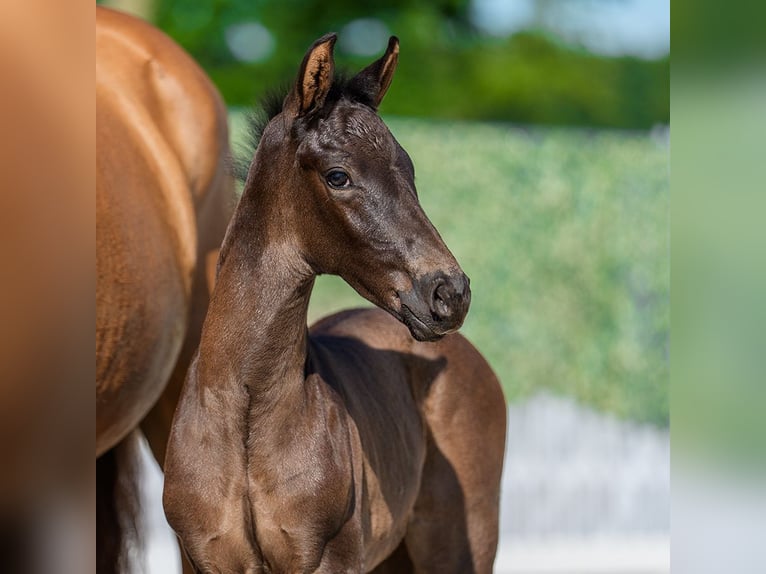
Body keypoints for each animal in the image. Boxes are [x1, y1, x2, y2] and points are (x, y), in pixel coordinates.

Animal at [163, 33, 506, 573]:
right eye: (338, 176)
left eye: (408, 170)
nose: (450, 293)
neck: (246, 407)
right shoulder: (200, 560)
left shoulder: (332, 559)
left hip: (459, 542)